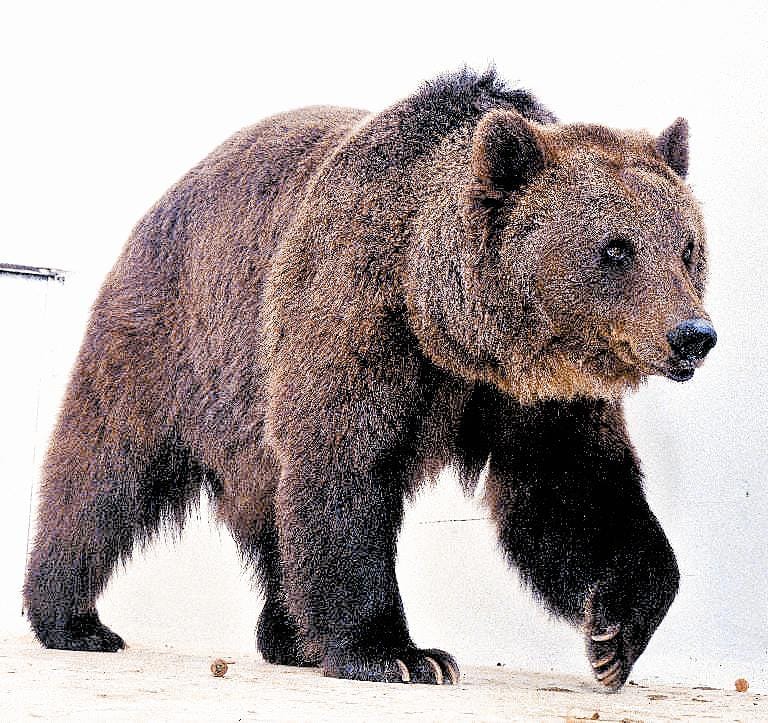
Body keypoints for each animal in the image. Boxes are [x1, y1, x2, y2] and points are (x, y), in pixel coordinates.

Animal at [23, 67, 716, 690]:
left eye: (687, 248)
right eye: (616, 248)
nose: (693, 334)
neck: (445, 322)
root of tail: (173, 188)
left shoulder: (530, 393)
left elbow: (573, 488)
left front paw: (614, 636)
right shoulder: (356, 314)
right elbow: (342, 466)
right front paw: (398, 653)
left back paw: (289, 637)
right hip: (176, 341)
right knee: (105, 471)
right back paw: (73, 619)